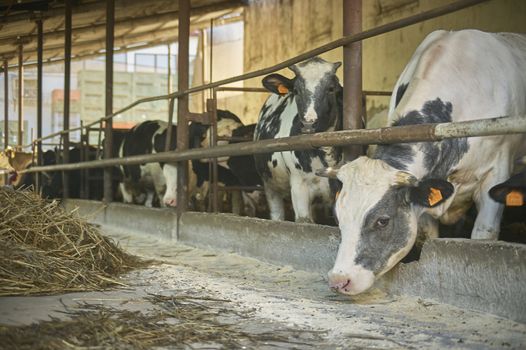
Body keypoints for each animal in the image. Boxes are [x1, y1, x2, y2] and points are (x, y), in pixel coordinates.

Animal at [255, 56, 342, 223]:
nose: (308, 123)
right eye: (296, 90)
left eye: (331, 88)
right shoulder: (299, 187)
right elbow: (304, 221)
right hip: (270, 185)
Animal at [326, 30, 526, 296]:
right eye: (338, 217)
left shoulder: (497, 172)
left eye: (382, 221)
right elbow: (427, 236)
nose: (339, 280)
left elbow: (484, 234)